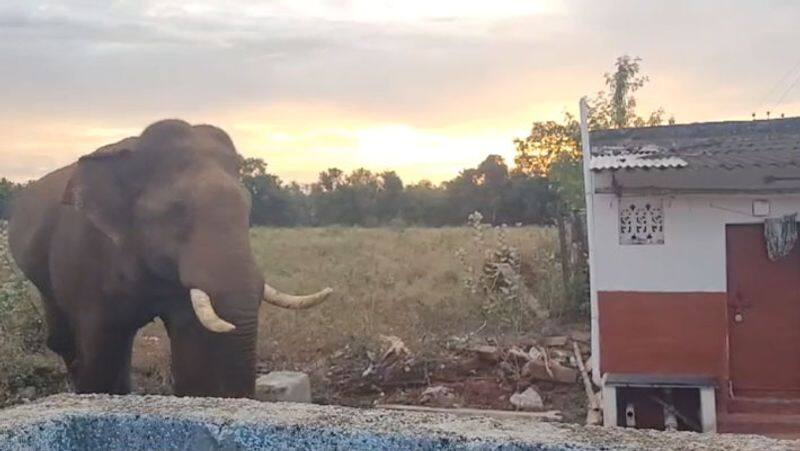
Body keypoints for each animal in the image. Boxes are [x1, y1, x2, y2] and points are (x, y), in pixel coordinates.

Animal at [7, 120, 332, 400]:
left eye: (248, 207)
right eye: (176, 210)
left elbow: (191, 342)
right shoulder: (82, 257)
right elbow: (98, 348)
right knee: (67, 339)